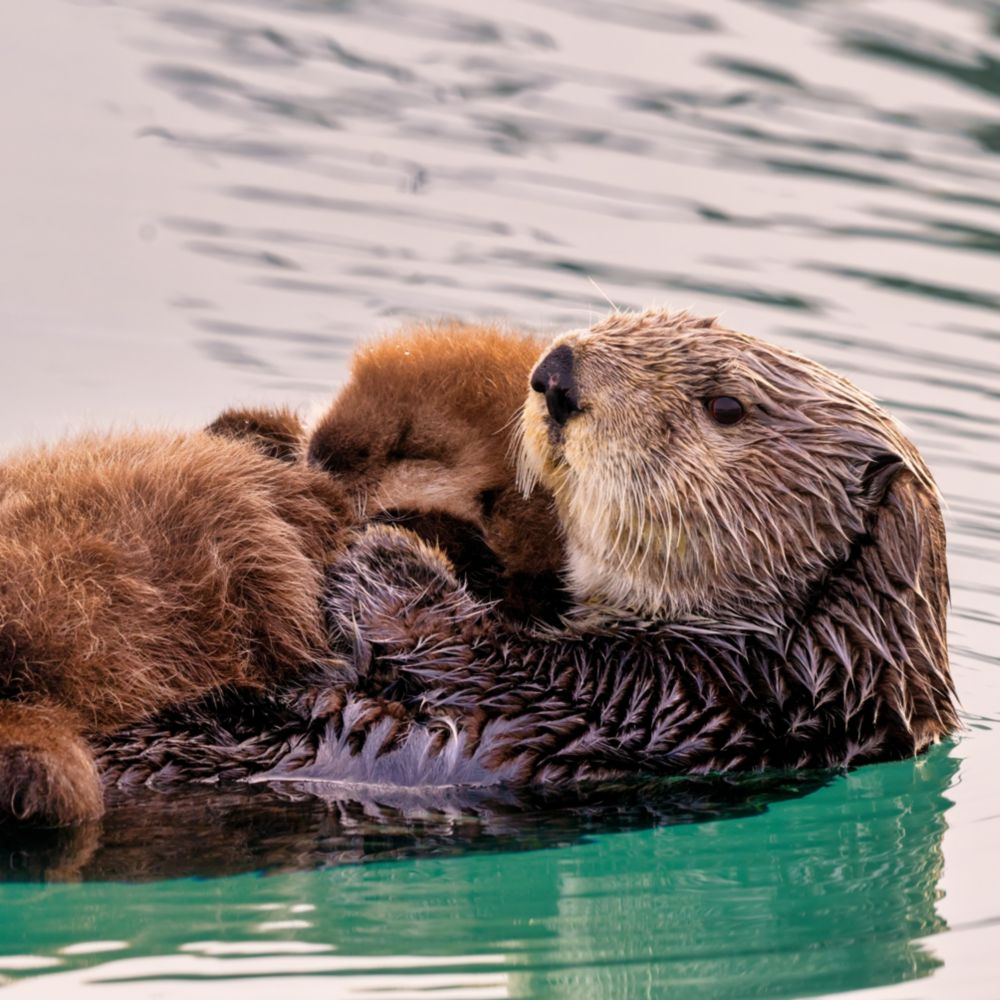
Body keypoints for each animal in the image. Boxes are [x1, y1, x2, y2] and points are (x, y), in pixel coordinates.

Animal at [99, 310, 956, 791]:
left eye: (724, 405)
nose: (557, 375)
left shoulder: (681, 700)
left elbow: (495, 663)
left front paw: (386, 558)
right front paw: (255, 433)